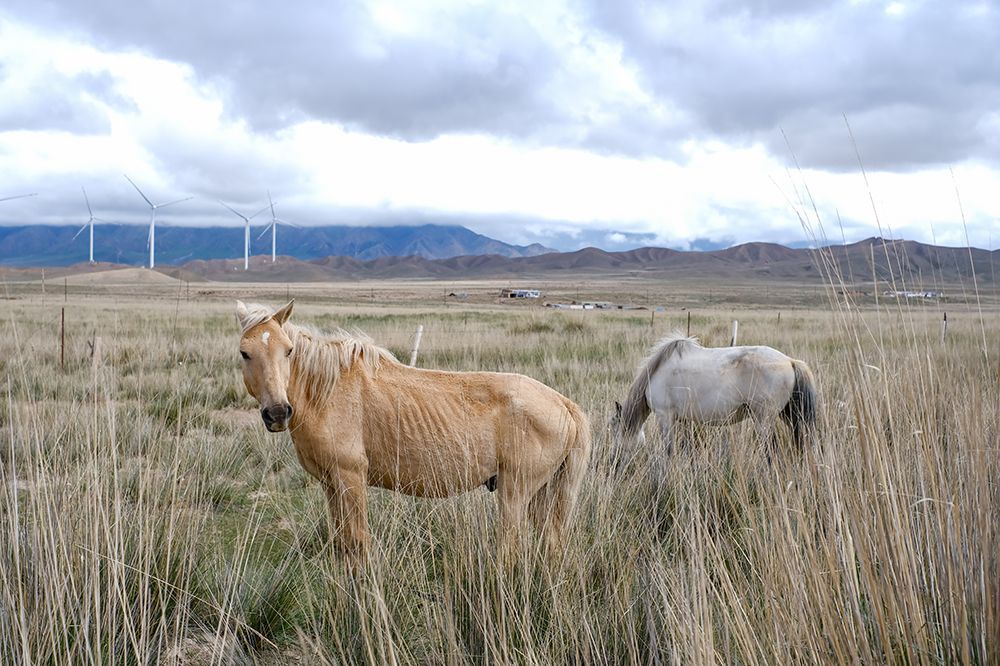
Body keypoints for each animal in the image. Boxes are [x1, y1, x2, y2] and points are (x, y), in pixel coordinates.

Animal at [235, 300, 592, 560]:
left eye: (288, 350)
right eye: (245, 353)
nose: (278, 412)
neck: (328, 391)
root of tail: (564, 405)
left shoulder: (350, 479)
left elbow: (358, 543)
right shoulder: (331, 485)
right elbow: (342, 543)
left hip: (516, 492)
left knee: (512, 547)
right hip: (543, 494)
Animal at [608, 332, 820, 462]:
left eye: (613, 426)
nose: (612, 460)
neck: (656, 373)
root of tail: (790, 361)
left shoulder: (664, 416)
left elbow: (668, 451)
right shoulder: (684, 420)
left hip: (764, 419)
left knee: (770, 452)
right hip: (788, 416)